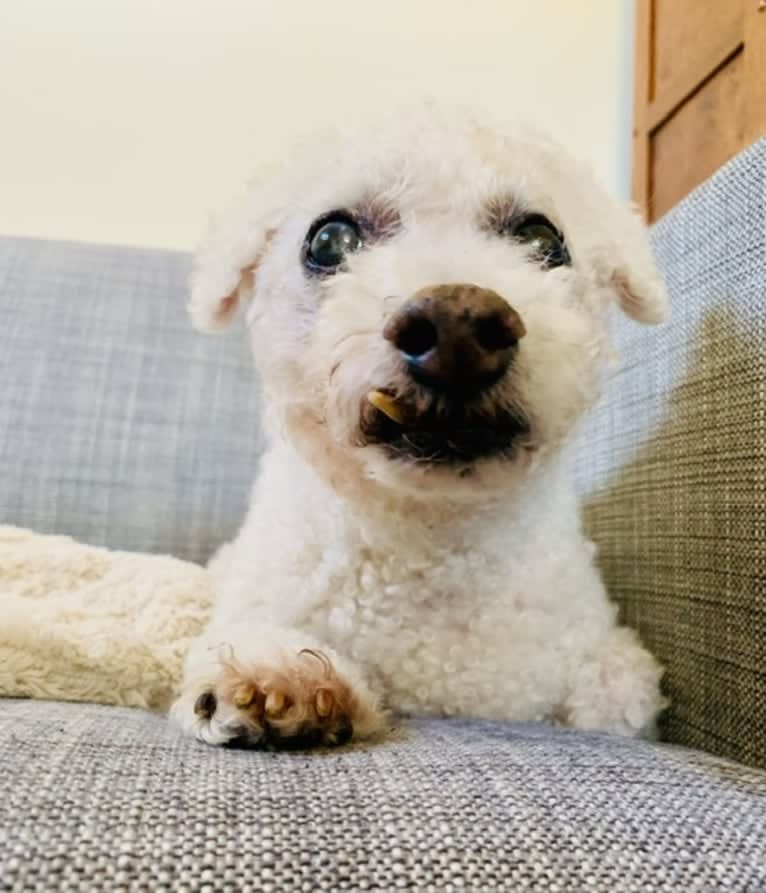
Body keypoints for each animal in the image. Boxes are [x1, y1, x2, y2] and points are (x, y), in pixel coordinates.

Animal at [171, 106, 668, 744]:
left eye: (543, 239)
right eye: (329, 240)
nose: (457, 325)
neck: (427, 543)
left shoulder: (609, 669)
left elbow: (615, 689)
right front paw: (280, 679)